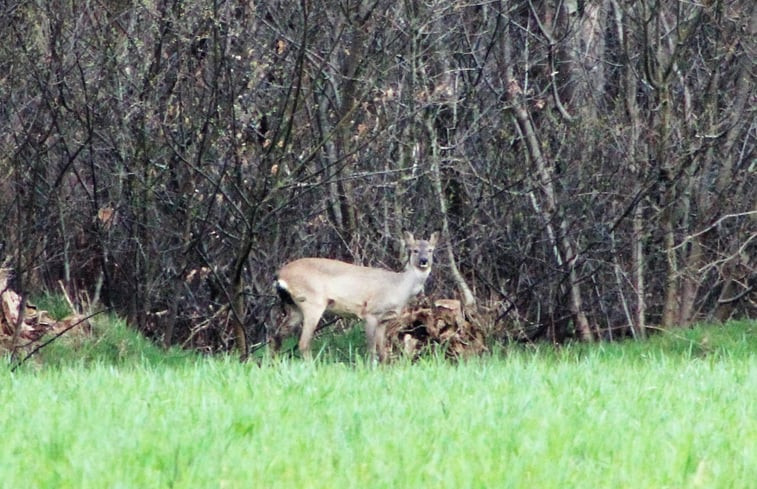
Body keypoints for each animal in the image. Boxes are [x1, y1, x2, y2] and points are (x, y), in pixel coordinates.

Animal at [270, 231, 438, 360]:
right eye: (414, 250)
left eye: (430, 250)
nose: (424, 261)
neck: (399, 287)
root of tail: (280, 275)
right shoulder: (370, 312)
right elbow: (371, 349)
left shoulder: (384, 319)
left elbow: (382, 351)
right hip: (312, 302)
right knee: (303, 343)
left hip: (294, 307)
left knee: (277, 336)